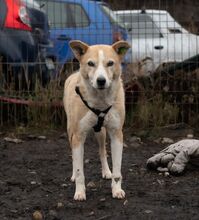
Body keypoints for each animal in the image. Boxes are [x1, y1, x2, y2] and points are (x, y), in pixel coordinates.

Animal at [63, 40, 130, 201]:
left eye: (110, 63)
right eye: (91, 63)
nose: (101, 80)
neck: (100, 101)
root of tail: (74, 73)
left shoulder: (117, 134)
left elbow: (117, 170)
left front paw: (117, 190)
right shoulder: (78, 136)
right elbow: (80, 170)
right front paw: (80, 192)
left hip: (101, 133)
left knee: (102, 151)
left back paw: (106, 171)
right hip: (70, 132)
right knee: (74, 156)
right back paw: (73, 175)